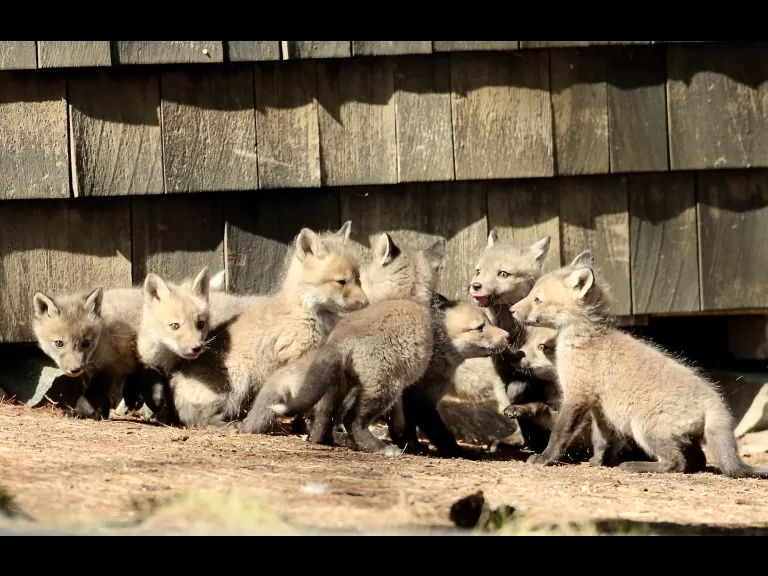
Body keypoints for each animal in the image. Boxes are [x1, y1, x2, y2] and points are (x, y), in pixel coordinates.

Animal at [266, 233, 446, 457]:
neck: (405, 298)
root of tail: (340, 338)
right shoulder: (402, 387)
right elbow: (400, 420)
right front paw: (407, 441)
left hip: (336, 385)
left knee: (320, 425)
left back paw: (328, 441)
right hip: (384, 388)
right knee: (352, 420)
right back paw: (381, 448)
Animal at [510, 251, 768, 479]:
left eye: (537, 299)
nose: (511, 310)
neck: (585, 339)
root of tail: (715, 402)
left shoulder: (577, 396)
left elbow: (559, 433)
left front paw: (545, 458)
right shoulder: (599, 408)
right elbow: (601, 440)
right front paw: (597, 462)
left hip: (645, 428)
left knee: (676, 462)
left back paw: (635, 465)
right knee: (696, 460)